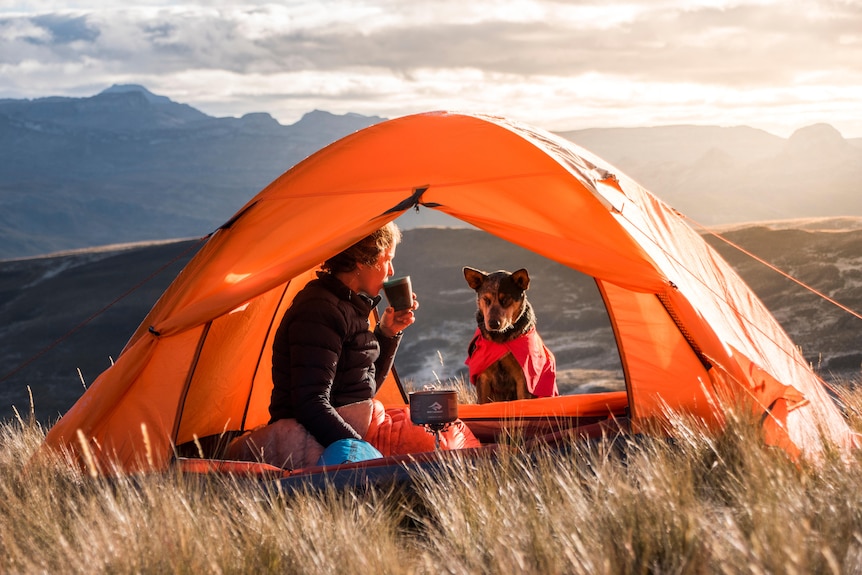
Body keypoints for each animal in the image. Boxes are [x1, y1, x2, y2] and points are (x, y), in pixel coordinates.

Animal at [466, 266, 560, 404]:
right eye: (486, 299)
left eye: (505, 299)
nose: (493, 324)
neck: (501, 339)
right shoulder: (483, 376)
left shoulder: (523, 376)